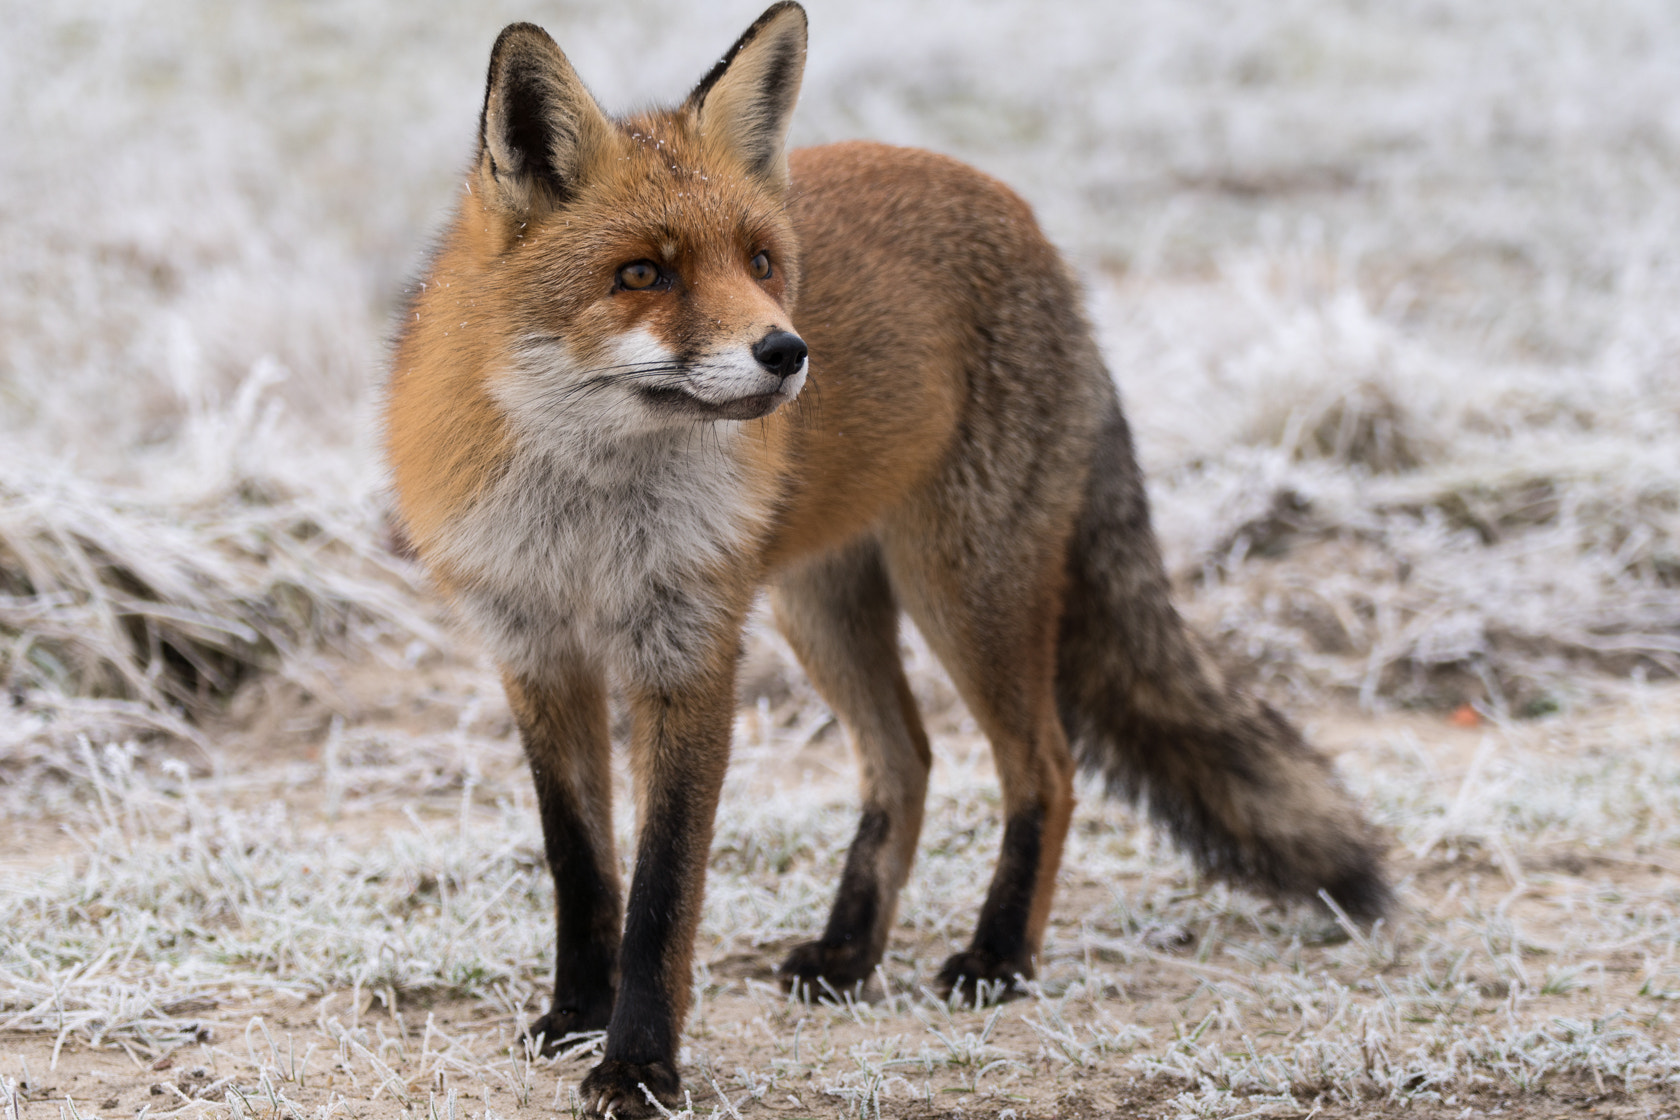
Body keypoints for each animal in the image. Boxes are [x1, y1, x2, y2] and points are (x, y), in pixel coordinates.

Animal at [384, 4, 1391, 1114]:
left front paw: (640, 1063)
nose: (787, 352)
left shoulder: (688, 657)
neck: (587, 518)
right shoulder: (536, 656)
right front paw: (574, 1018)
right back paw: (849, 951)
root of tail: (1024, 220)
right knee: (906, 760)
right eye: (642, 273)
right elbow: (581, 870)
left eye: (761, 261)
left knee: (1043, 764)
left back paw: (999, 956)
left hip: (964, 590)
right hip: (820, 607)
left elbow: (662, 894)